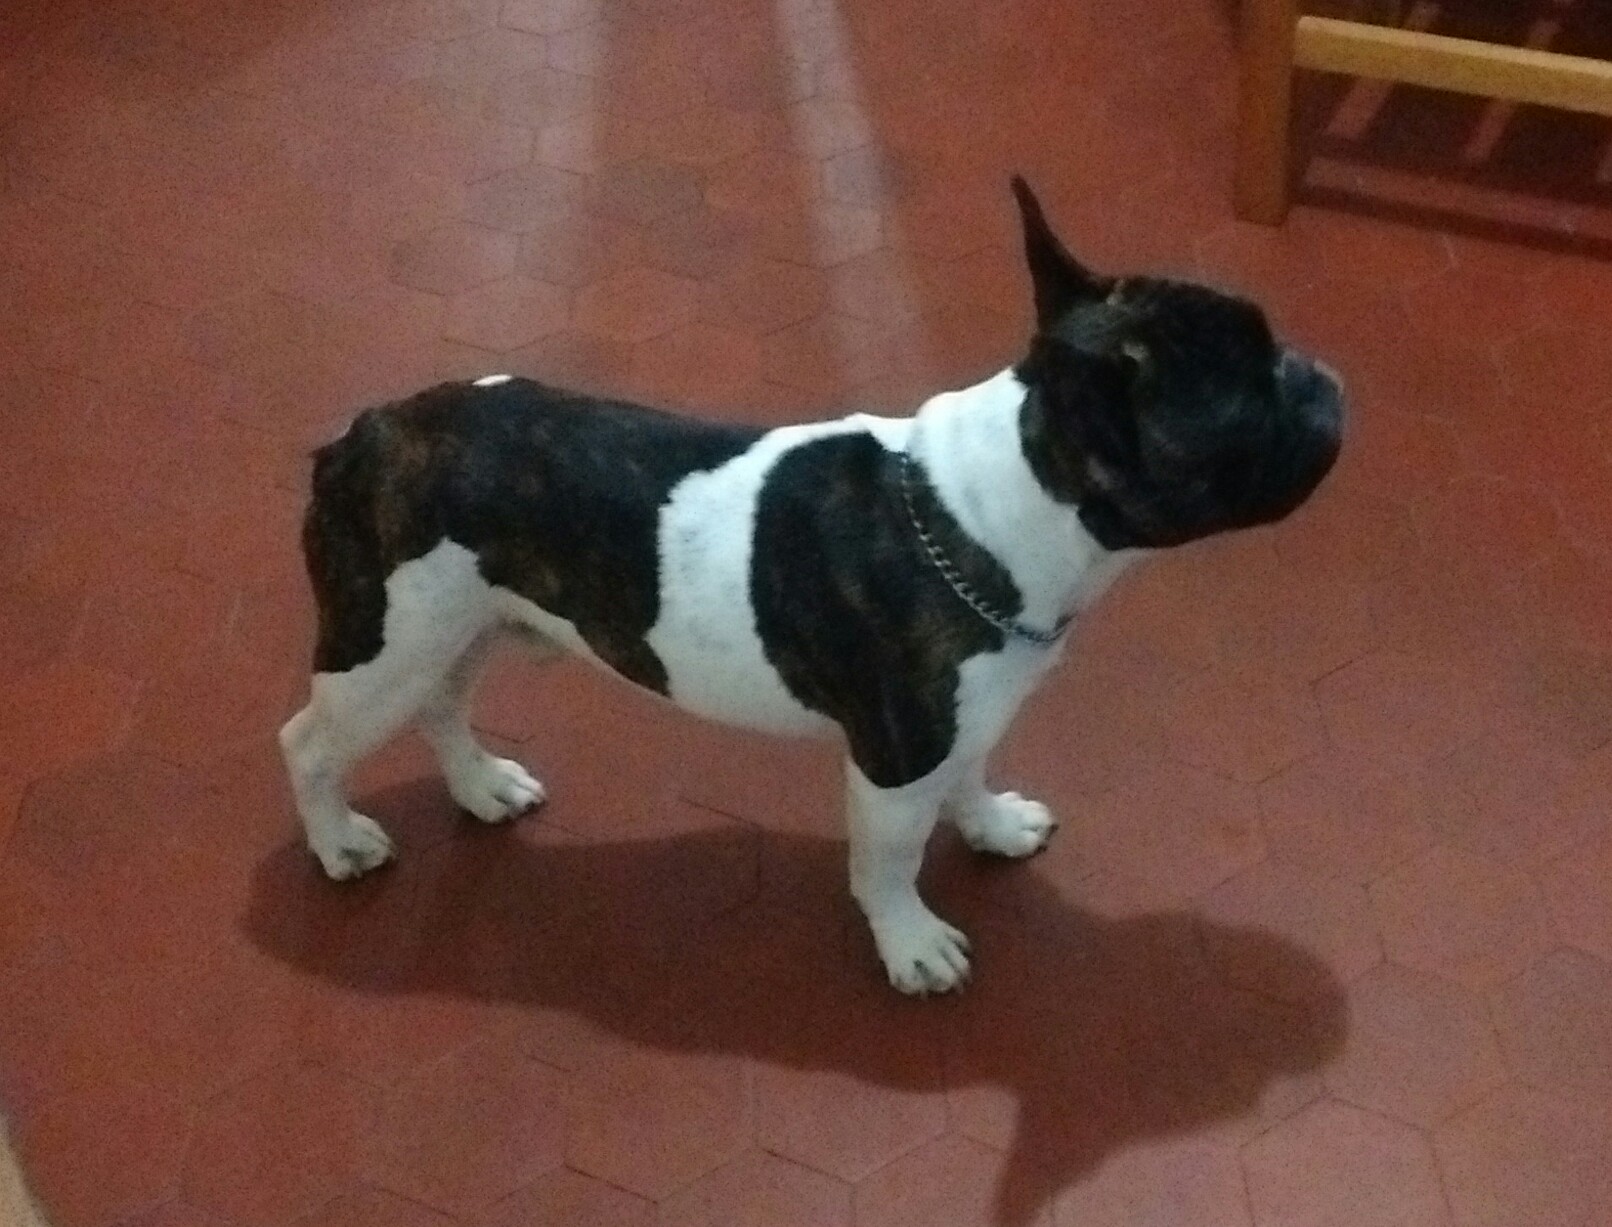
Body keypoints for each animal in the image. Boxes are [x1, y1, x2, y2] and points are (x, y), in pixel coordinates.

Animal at [279, 179, 1343, 995]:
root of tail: (363, 435)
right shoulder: (894, 763)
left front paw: (992, 824)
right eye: (1250, 394)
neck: (990, 509)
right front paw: (909, 941)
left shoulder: (961, 723)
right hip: (379, 649)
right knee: (308, 743)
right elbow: (890, 860)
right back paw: (338, 842)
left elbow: (973, 775)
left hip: (457, 626)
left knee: (443, 703)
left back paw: (479, 785)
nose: (1321, 375)